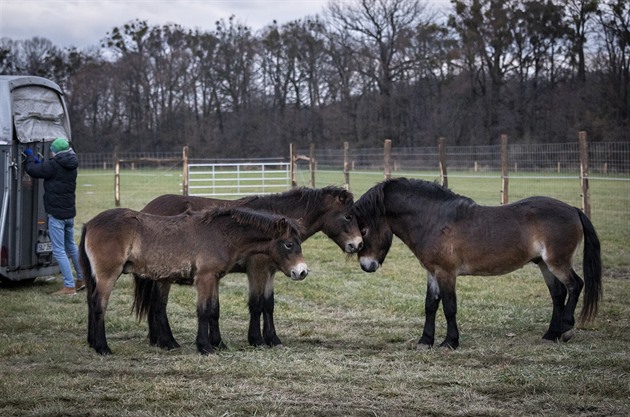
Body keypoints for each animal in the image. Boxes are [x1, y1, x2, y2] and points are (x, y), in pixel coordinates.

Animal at [80, 206, 308, 354]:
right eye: (288, 244)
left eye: (299, 243)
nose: (302, 272)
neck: (221, 233)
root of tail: (89, 223)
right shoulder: (204, 278)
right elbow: (204, 311)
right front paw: (204, 347)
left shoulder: (214, 278)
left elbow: (214, 310)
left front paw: (218, 344)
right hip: (108, 275)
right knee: (99, 305)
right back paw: (102, 347)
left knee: (91, 302)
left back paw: (93, 343)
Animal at [136, 185, 362, 348]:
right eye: (348, 216)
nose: (358, 245)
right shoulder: (257, 271)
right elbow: (256, 304)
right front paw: (257, 340)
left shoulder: (271, 272)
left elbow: (268, 304)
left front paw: (273, 339)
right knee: (159, 304)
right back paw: (168, 342)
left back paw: (156, 339)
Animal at [354, 177, 604, 350]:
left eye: (364, 230)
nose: (366, 265)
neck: (434, 219)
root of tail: (574, 209)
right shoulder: (432, 272)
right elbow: (430, 305)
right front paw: (425, 340)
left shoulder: (446, 273)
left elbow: (449, 307)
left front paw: (450, 342)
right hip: (544, 264)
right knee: (558, 294)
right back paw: (551, 334)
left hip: (557, 262)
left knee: (575, 285)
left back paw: (567, 329)